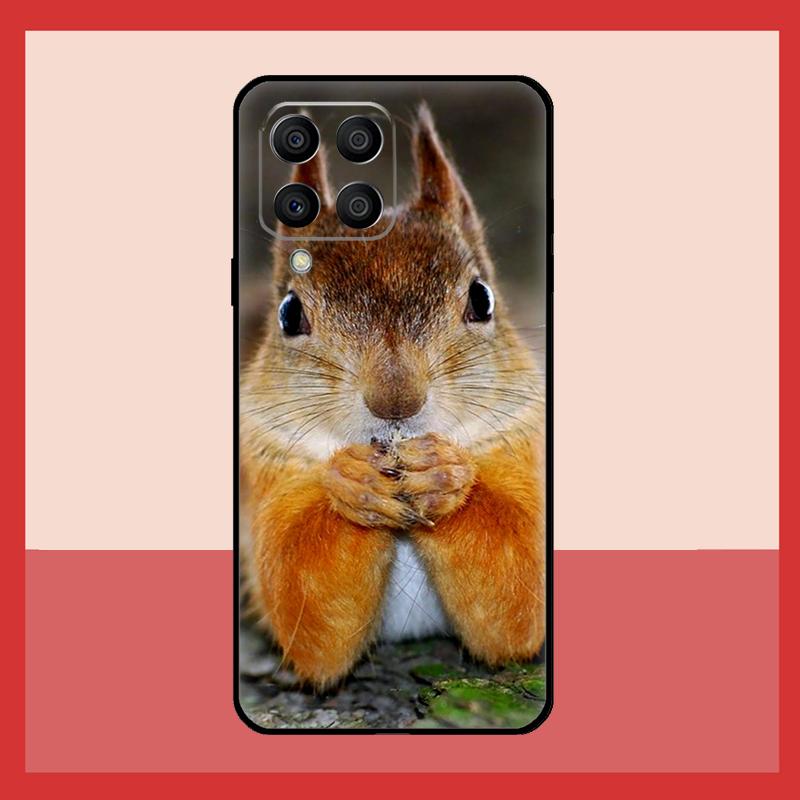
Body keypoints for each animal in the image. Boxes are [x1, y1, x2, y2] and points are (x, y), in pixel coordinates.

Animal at [240, 104, 545, 689]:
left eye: (482, 298)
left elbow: (517, 594)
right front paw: (352, 482)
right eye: (289, 313)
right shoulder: (268, 468)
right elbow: (305, 609)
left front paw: (444, 474)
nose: (396, 401)